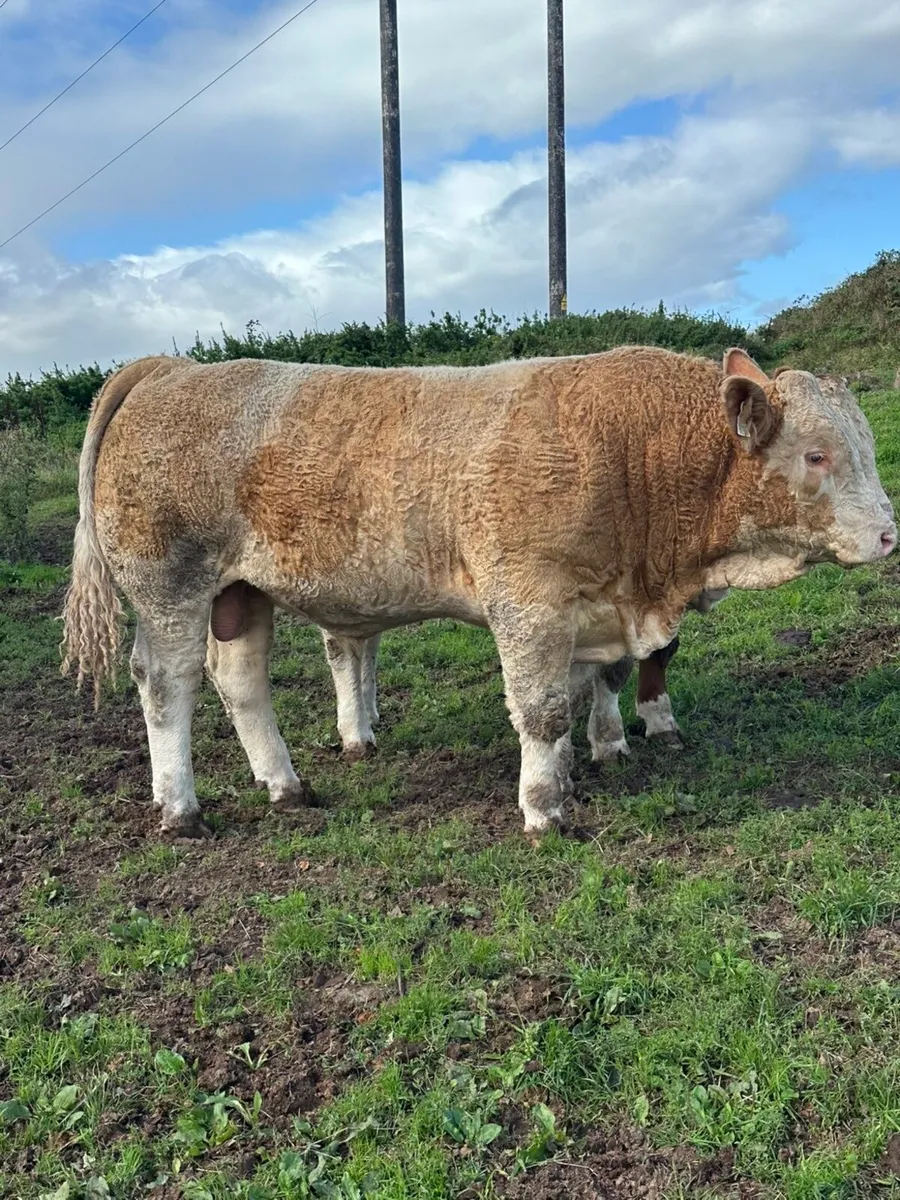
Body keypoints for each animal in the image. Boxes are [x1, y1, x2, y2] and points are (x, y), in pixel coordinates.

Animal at [61, 346, 896, 841]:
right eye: (817, 455)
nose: (890, 535)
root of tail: (171, 365)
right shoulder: (529, 600)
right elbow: (543, 707)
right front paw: (544, 808)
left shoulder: (594, 604)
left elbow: (595, 687)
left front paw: (587, 760)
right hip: (169, 583)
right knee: (166, 683)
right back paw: (179, 807)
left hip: (241, 591)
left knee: (240, 680)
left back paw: (285, 785)